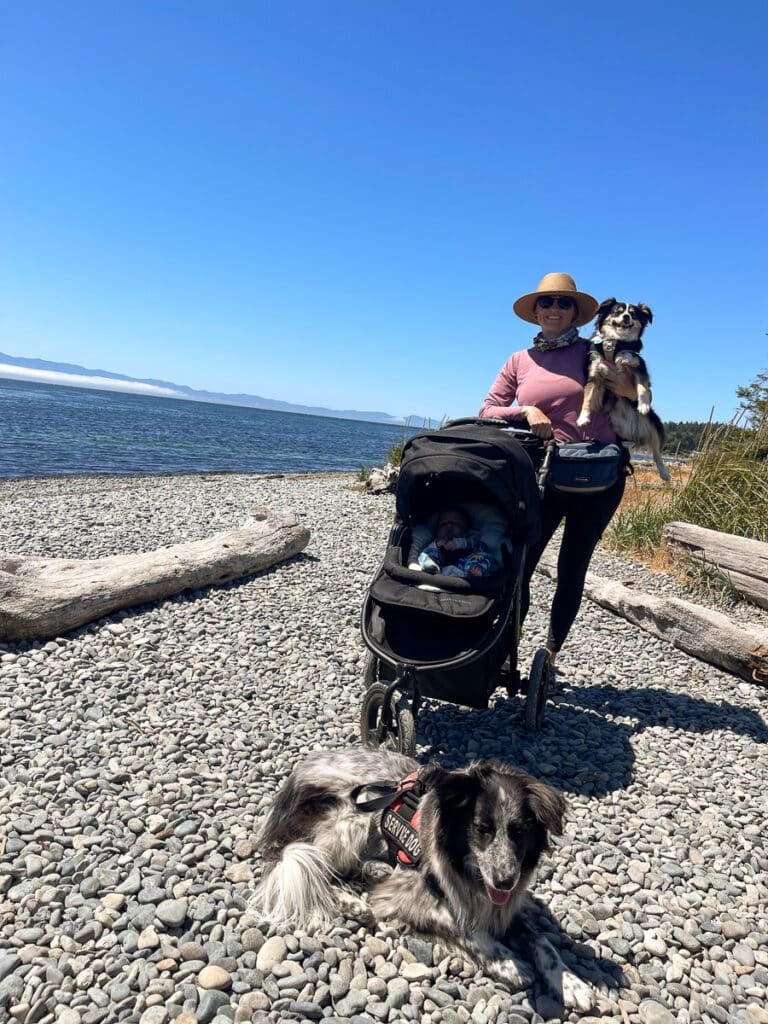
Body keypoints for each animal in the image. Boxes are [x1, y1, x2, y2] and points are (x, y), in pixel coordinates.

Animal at [252, 745, 593, 1007]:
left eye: (519, 832)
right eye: (481, 829)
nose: (505, 881)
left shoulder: (504, 906)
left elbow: (543, 943)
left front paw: (571, 983)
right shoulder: (408, 896)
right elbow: (465, 927)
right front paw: (507, 962)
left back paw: (376, 869)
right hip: (350, 821)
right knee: (317, 870)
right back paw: (355, 903)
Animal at [581, 296, 671, 479]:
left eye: (633, 314)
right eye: (618, 311)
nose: (626, 317)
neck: (615, 344)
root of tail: (635, 433)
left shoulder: (638, 366)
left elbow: (642, 388)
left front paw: (643, 405)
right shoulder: (595, 374)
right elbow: (587, 397)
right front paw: (583, 417)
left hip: (655, 425)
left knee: (657, 453)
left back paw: (664, 473)